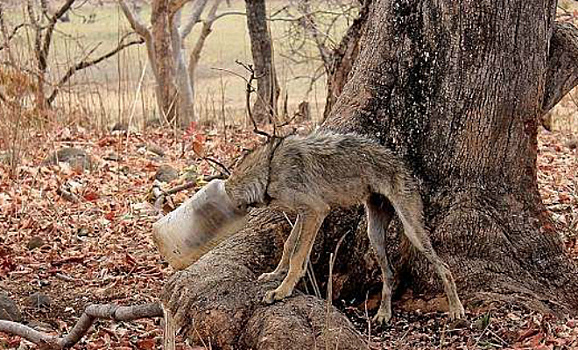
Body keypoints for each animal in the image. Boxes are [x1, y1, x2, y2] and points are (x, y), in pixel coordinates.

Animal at [223, 130, 466, 324]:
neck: (270, 168)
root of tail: (402, 164)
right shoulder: (305, 214)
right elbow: (289, 245)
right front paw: (275, 274)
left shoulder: (316, 210)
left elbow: (297, 256)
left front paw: (281, 291)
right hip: (374, 235)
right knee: (389, 273)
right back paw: (383, 314)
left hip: (412, 231)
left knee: (444, 268)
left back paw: (456, 310)